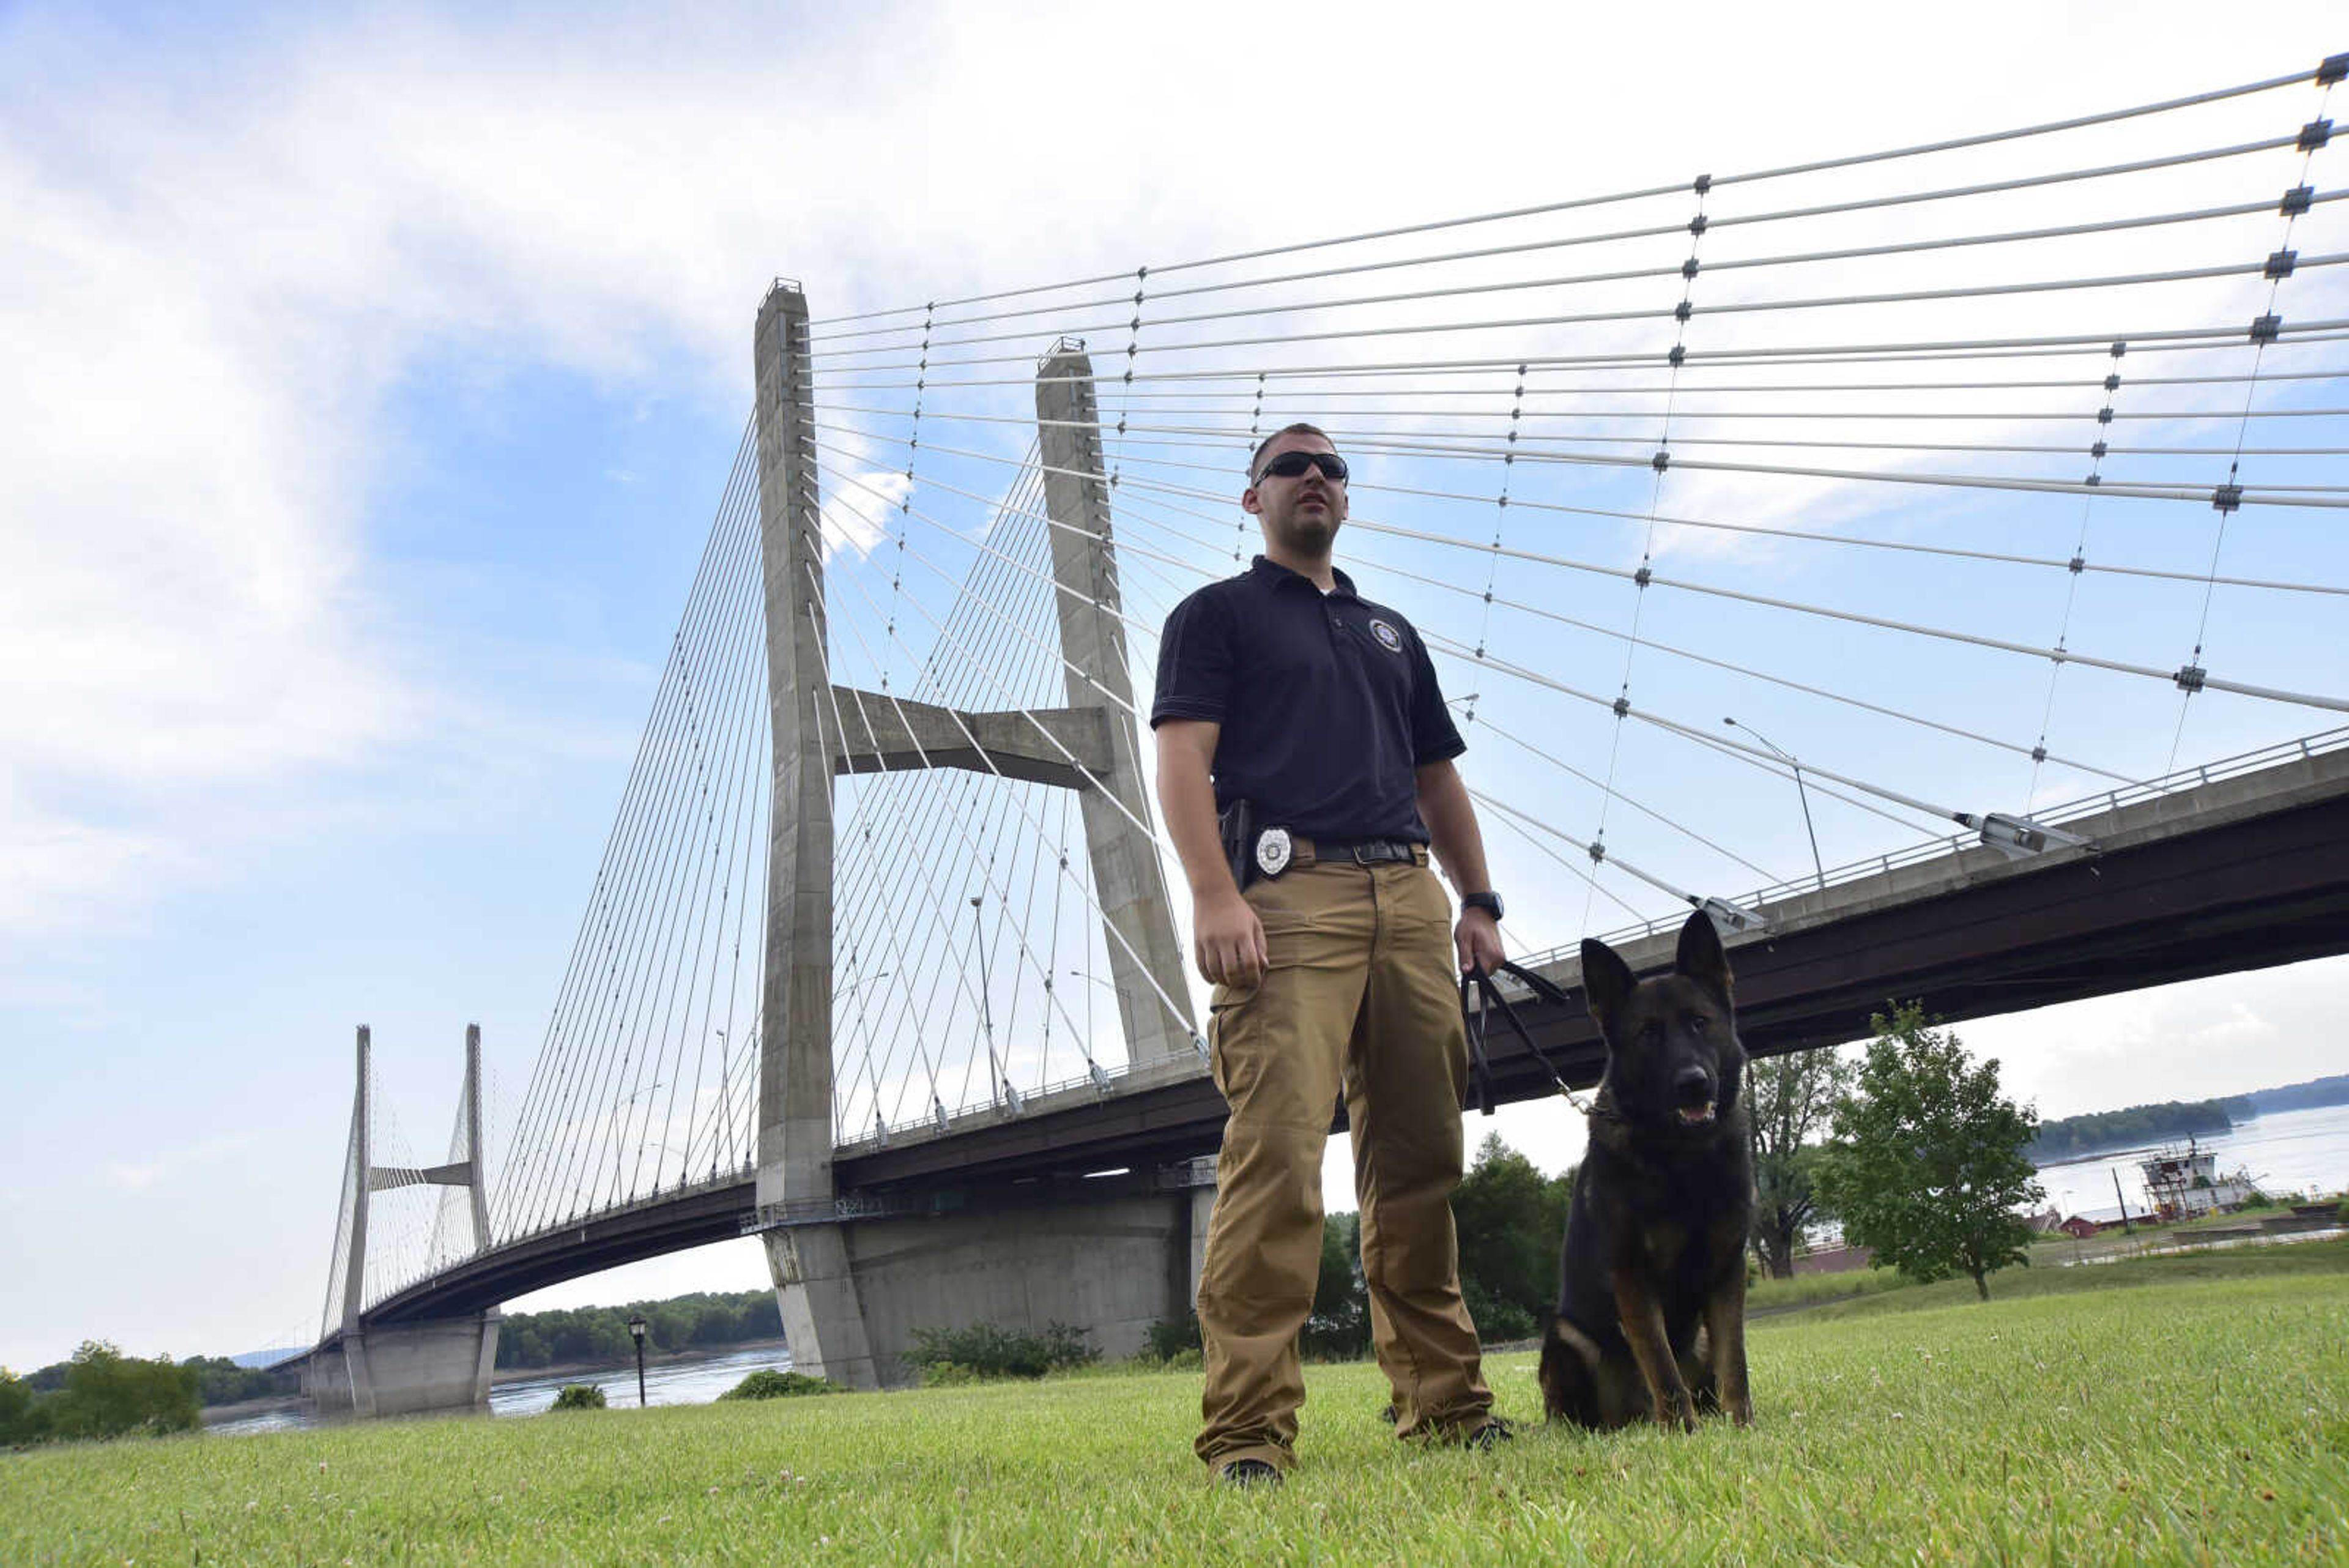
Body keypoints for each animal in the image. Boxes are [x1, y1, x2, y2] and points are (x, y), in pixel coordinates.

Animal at [1531, 907, 1757, 1438]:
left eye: (1700, 1023)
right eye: (1648, 1033)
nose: (1694, 1083)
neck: (1683, 1159)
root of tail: (1630, 1418)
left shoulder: (1727, 1271)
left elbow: (1735, 1363)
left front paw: (1743, 1427)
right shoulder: (1633, 1278)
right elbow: (1662, 1367)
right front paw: (1684, 1434)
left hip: (1697, 1338)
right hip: (1567, 1335)